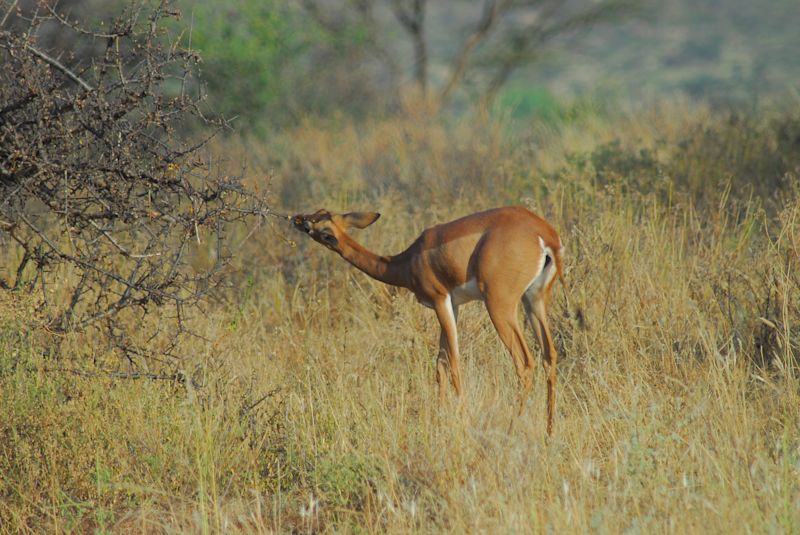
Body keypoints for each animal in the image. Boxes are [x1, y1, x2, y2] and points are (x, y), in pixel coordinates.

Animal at [292, 206, 564, 436]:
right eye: (318, 212)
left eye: (322, 229)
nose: (297, 219)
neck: (409, 259)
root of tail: (543, 234)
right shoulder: (453, 305)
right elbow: (440, 365)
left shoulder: (440, 300)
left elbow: (453, 364)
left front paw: (462, 420)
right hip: (534, 300)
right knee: (549, 355)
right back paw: (549, 431)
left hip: (500, 306)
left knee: (524, 362)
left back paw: (512, 428)